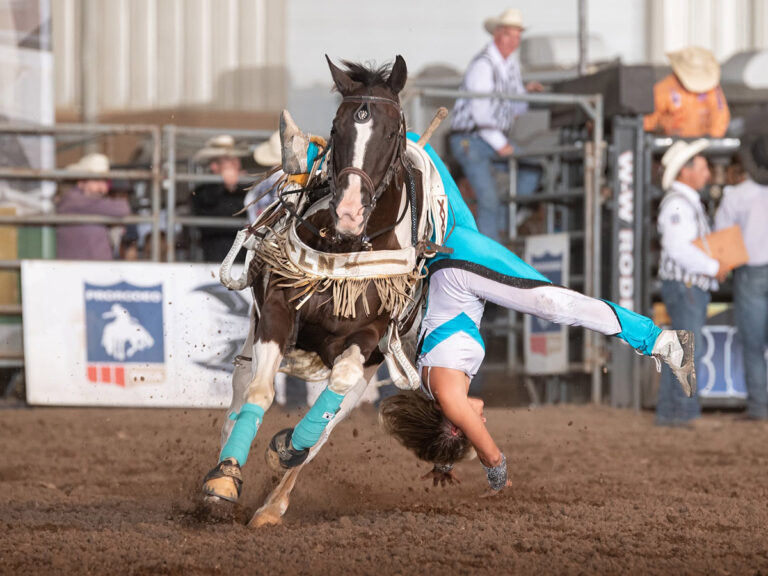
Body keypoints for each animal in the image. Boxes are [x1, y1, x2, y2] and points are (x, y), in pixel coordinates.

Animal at [201, 55, 433, 526]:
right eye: (337, 127)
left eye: (391, 131)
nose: (348, 212)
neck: (345, 247)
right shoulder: (276, 311)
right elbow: (259, 392)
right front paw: (225, 479)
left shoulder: (367, 340)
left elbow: (327, 407)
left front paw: (287, 448)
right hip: (252, 340)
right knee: (239, 396)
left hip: (367, 371)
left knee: (327, 424)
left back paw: (273, 505)